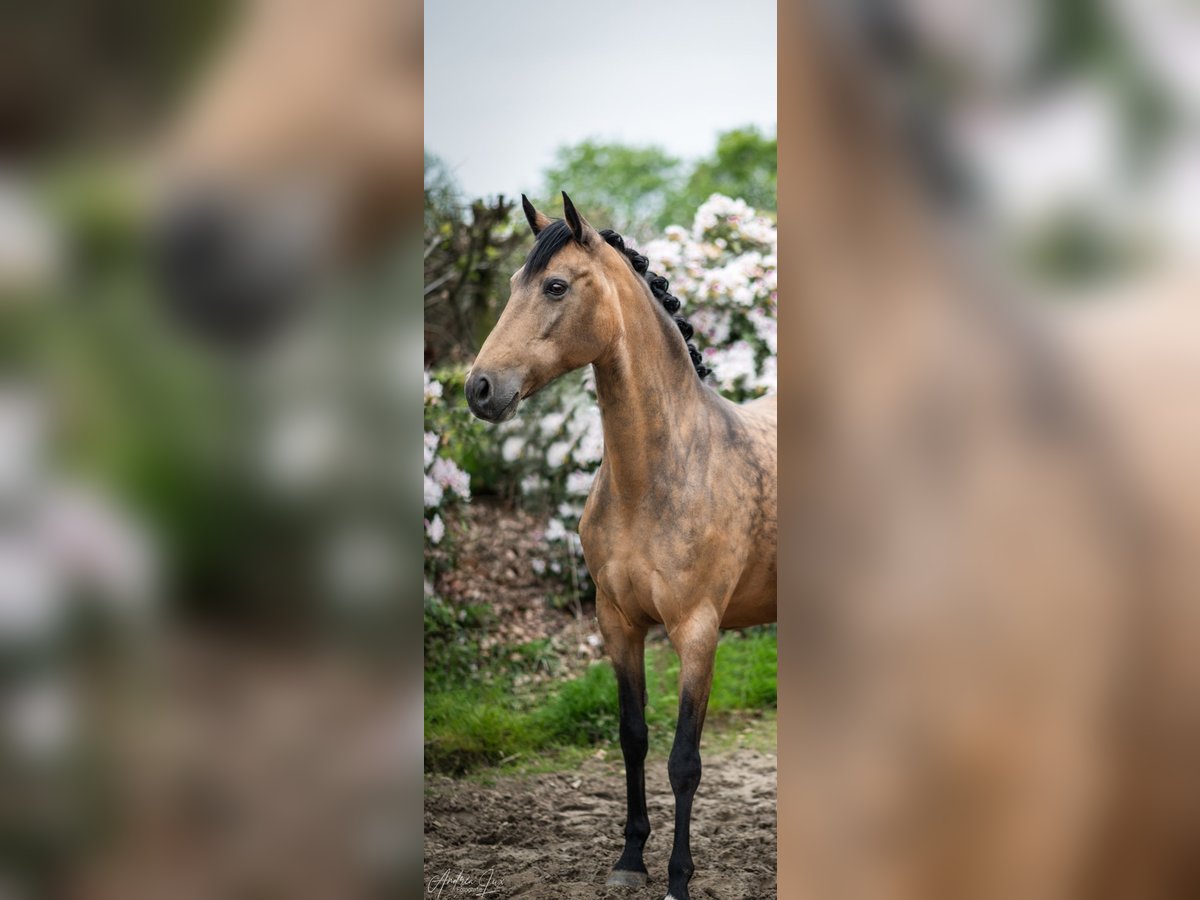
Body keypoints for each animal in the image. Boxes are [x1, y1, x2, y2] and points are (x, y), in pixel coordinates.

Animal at [458, 194, 777, 897]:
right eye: (513, 283)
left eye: (554, 286)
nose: (479, 389)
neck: (662, 472)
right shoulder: (618, 623)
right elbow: (633, 736)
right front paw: (631, 858)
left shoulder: (697, 632)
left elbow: (684, 760)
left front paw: (678, 877)